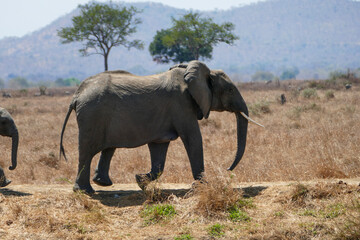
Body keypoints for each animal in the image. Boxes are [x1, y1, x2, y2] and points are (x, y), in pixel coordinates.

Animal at [59, 61, 262, 194]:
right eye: (230, 90)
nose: (227, 169)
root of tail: (76, 95)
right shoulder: (181, 104)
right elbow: (193, 138)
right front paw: (203, 186)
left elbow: (159, 148)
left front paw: (140, 181)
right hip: (92, 115)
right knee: (87, 151)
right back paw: (86, 191)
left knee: (108, 148)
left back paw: (102, 184)